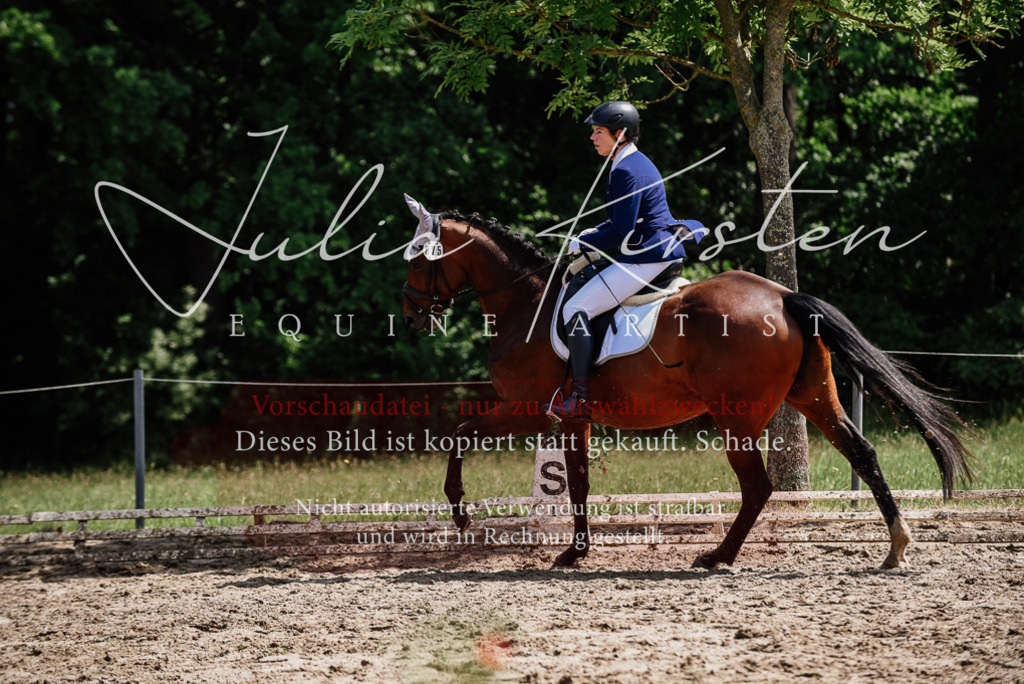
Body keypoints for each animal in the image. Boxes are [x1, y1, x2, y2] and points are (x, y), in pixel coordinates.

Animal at [400, 201, 974, 569]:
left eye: (417, 258)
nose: (410, 316)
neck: (526, 302)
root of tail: (783, 296)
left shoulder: (529, 409)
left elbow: (459, 434)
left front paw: (460, 512)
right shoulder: (572, 418)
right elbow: (579, 484)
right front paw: (574, 553)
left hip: (736, 416)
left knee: (758, 486)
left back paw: (719, 556)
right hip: (812, 395)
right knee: (862, 452)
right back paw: (895, 546)